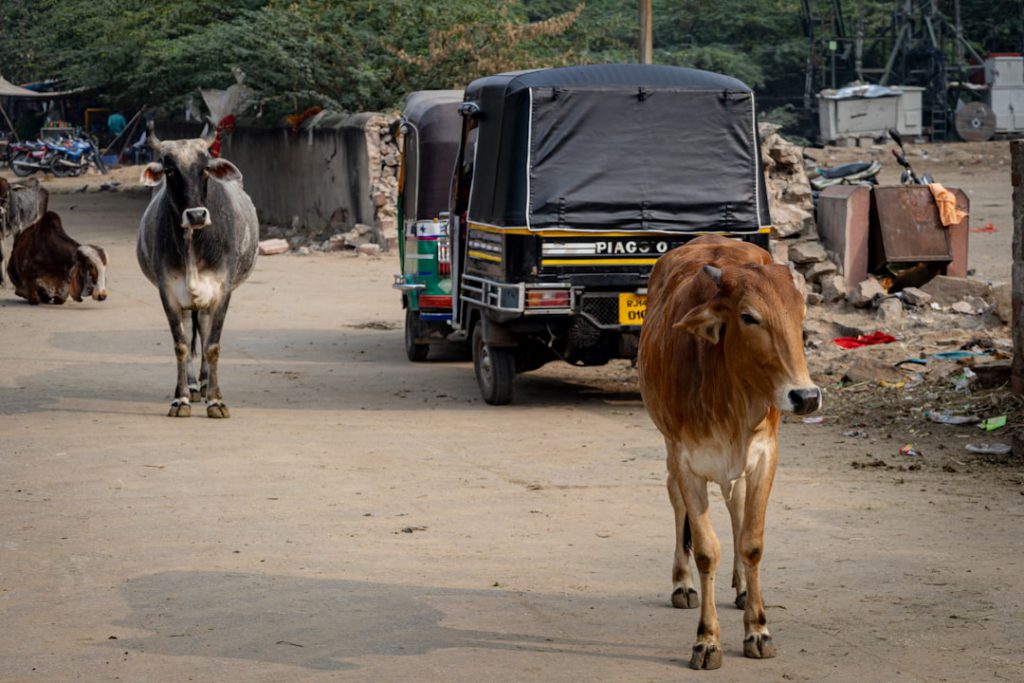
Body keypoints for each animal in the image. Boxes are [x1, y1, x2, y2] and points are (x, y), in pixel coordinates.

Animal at [137, 124, 258, 419]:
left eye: (204, 168)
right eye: (169, 170)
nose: (196, 215)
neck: (194, 240)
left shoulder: (222, 291)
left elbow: (212, 346)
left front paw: (216, 401)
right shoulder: (168, 293)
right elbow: (181, 346)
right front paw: (180, 399)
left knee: (202, 330)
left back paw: (203, 384)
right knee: (191, 331)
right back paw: (193, 386)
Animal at [634, 236, 819, 671]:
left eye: (800, 313)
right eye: (749, 317)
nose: (805, 397)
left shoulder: (765, 456)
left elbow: (752, 542)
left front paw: (758, 630)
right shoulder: (687, 461)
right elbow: (704, 549)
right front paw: (707, 641)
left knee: (735, 506)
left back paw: (742, 587)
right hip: (669, 448)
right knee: (675, 502)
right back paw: (682, 584)